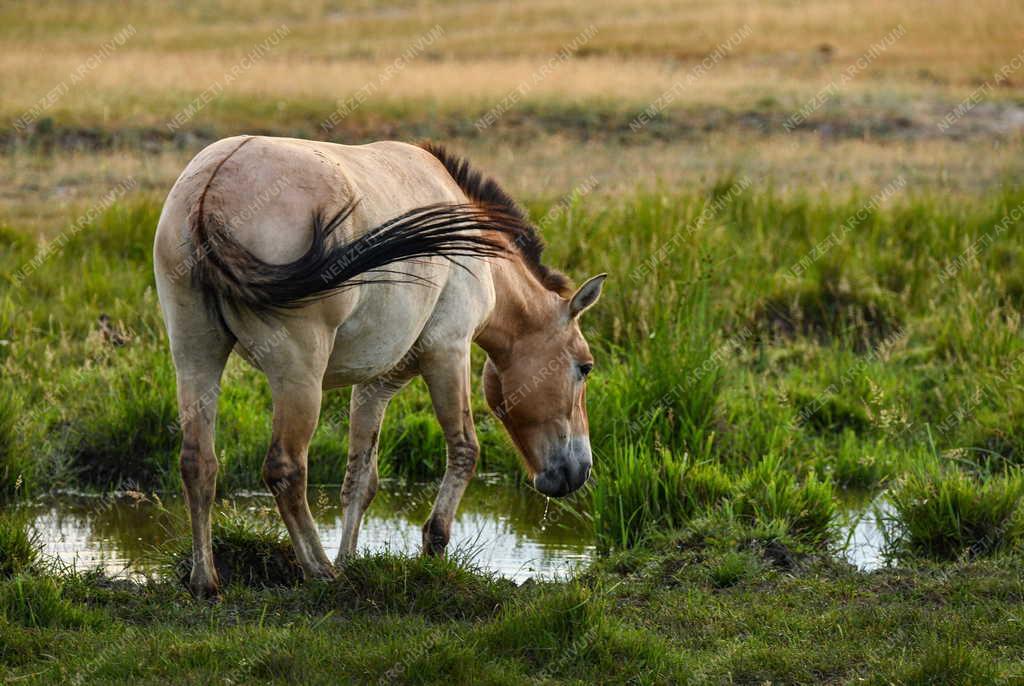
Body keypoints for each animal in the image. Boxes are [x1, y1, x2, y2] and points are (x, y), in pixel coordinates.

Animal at [151, 136, 602, 597]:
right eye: (584, 367)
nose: (579, 471)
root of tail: (211, 188)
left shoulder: (376, 383)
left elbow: (360, 479)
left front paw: (350, 560)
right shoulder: (449, 352)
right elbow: (464, 450)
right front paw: (433, 549)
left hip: (195, 356)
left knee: (198, 463)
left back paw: (206, 582)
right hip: (298, 373)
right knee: (285, 468)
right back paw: (319, 571)